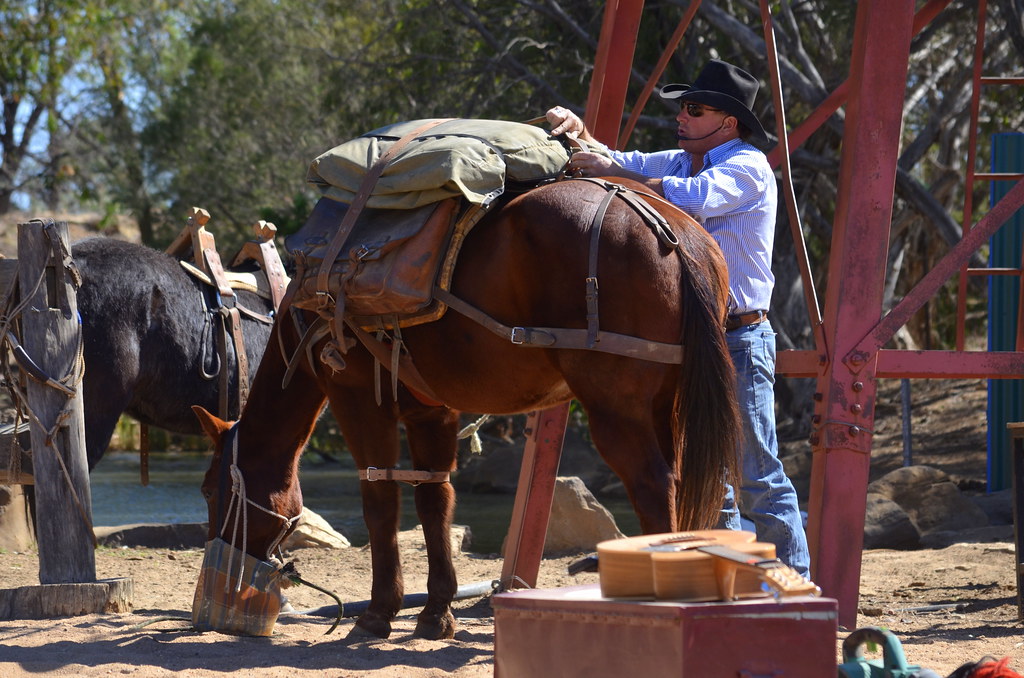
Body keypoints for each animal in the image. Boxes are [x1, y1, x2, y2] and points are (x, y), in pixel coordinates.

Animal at [194, 176, 741, 640]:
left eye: (210, 491)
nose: (223, 563)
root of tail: (665, 227)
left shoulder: (358, 401)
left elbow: (380, 502)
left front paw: (379, 611)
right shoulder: (431, 412)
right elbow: (435, 500)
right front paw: (436, 611)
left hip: (616, 412)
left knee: (653, 486)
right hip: (665, 407)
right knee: (677, 483)